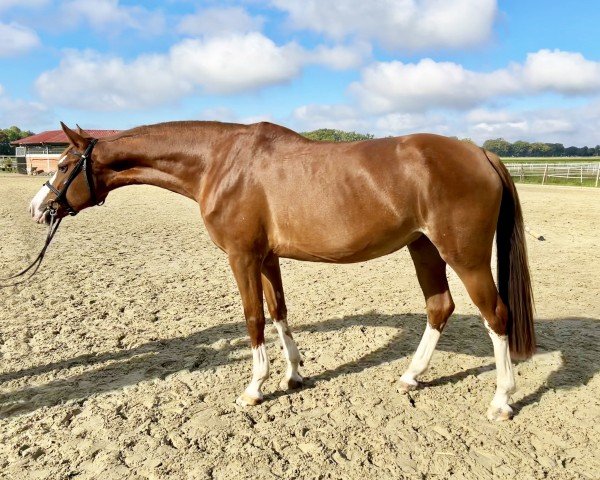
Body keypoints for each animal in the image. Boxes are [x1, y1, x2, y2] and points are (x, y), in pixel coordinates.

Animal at [29, 121, 536, 420]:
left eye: (63, 164)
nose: (38, 208)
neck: (221, 162)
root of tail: (480, 153)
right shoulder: (267, 257)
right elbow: (279, 313)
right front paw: (293, 375)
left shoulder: (241, 257)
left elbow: (253, 318)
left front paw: (254, 388)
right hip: (424, 248)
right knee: (439, 307)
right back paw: (411, 376)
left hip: (465, 256)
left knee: (496, 316)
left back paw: (501, 400)